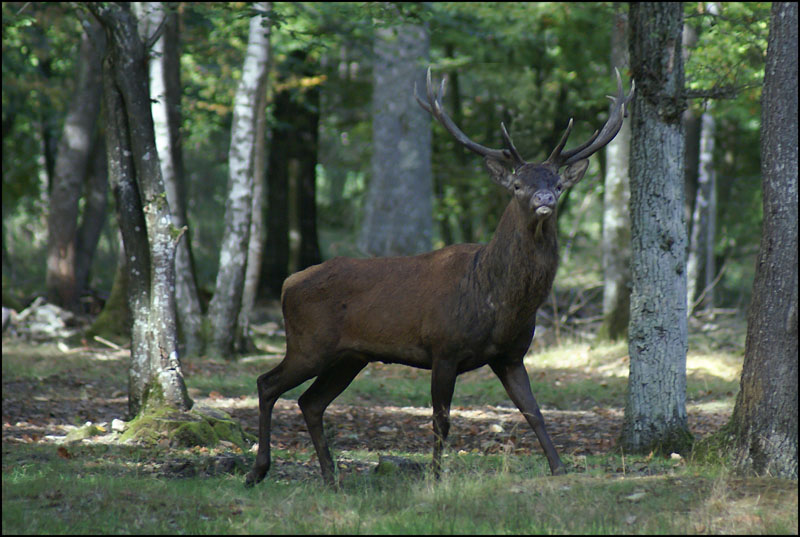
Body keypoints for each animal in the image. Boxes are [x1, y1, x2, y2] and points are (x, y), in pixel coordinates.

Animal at [245, 67, 634, 488]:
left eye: (558, 184)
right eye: (518, 185)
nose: (545, 199)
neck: (497, 299)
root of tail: (288, 283)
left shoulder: (511, 356)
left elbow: (535, 412)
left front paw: (559, 468)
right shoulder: (444, 348)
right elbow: (441, 421)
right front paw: (434, 478)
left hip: (350, 356)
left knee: (310, 401)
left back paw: (331, 478)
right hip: (309, 344)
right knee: (267, 383)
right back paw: (258, 471)